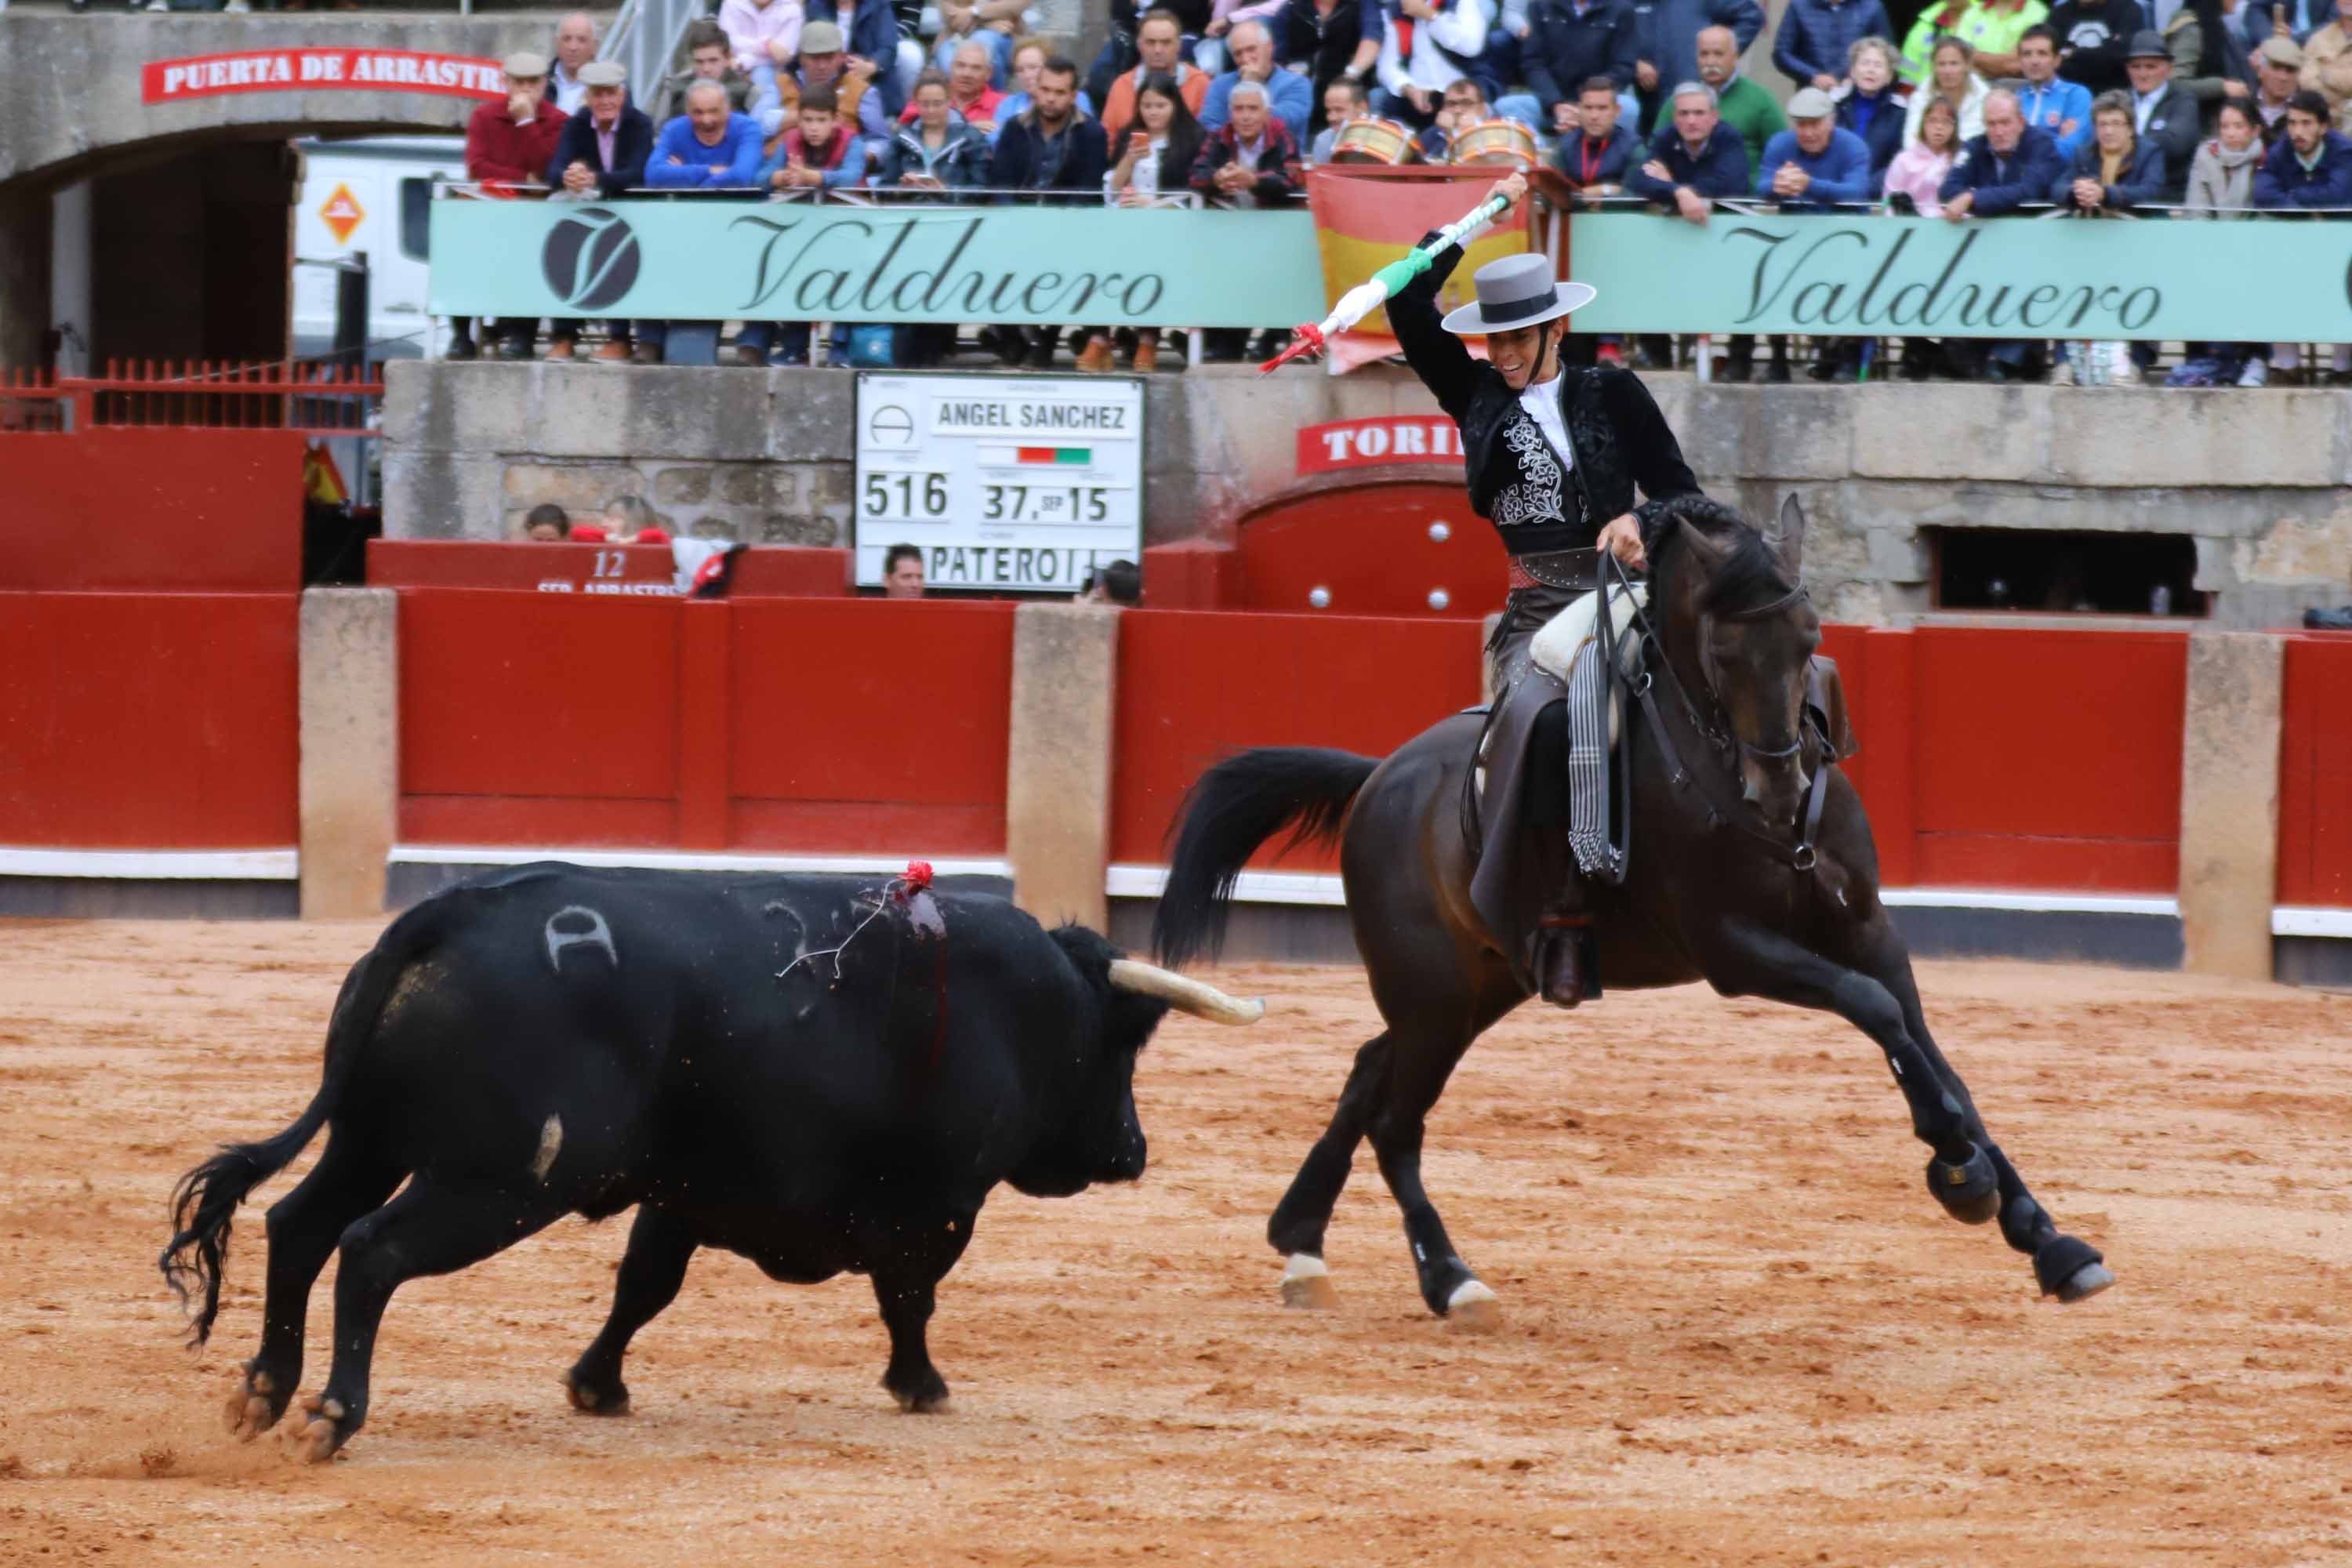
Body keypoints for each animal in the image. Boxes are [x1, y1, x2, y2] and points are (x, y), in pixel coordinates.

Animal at [161, 865, 1270, 1467]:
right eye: (1126, 1044)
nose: (1134, 1148)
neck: (1023, 1004)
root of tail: (444, 917)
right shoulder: (940, 1203)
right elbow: (910, 1298)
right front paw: (922, 1384)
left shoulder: (687, 1190)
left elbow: (643, 1286)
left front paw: (596, 1385)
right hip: (498, 1180)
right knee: (370, 1250)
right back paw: (330, 1414)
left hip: (372, 1136)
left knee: (300, 1224)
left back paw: (262, 1394)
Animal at [1152, 493, 2117, 1326]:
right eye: (1722, 651)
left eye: (1809, 638)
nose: (1778, 789)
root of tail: (1378, 776)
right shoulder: (1735, 950)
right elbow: (1881, 1016)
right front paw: (1958, 1170)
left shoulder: (1869, 928)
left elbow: (1932, 1054)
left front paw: (2045, 1238)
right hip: (1432, 992)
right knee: (1396, 1118)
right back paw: (1452, 1280)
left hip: (1477, 985)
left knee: (1366, 1070)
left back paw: (1301, 1242)